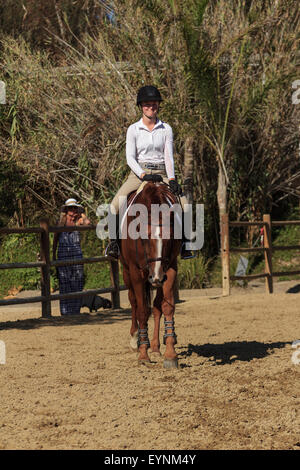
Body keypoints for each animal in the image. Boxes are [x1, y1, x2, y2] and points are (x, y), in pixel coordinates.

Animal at [119, 182, 180, 370]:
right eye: (145, 239)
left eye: (170, 238)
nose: (156, 277)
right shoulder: (136, 272)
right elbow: (142, 311)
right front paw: (143, 354)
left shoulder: (170, 268)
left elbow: (166, 307)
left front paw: (170, 354)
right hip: (127, 272)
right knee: (133, 302)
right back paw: (135, 339)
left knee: (157, 306)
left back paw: (156, 345)